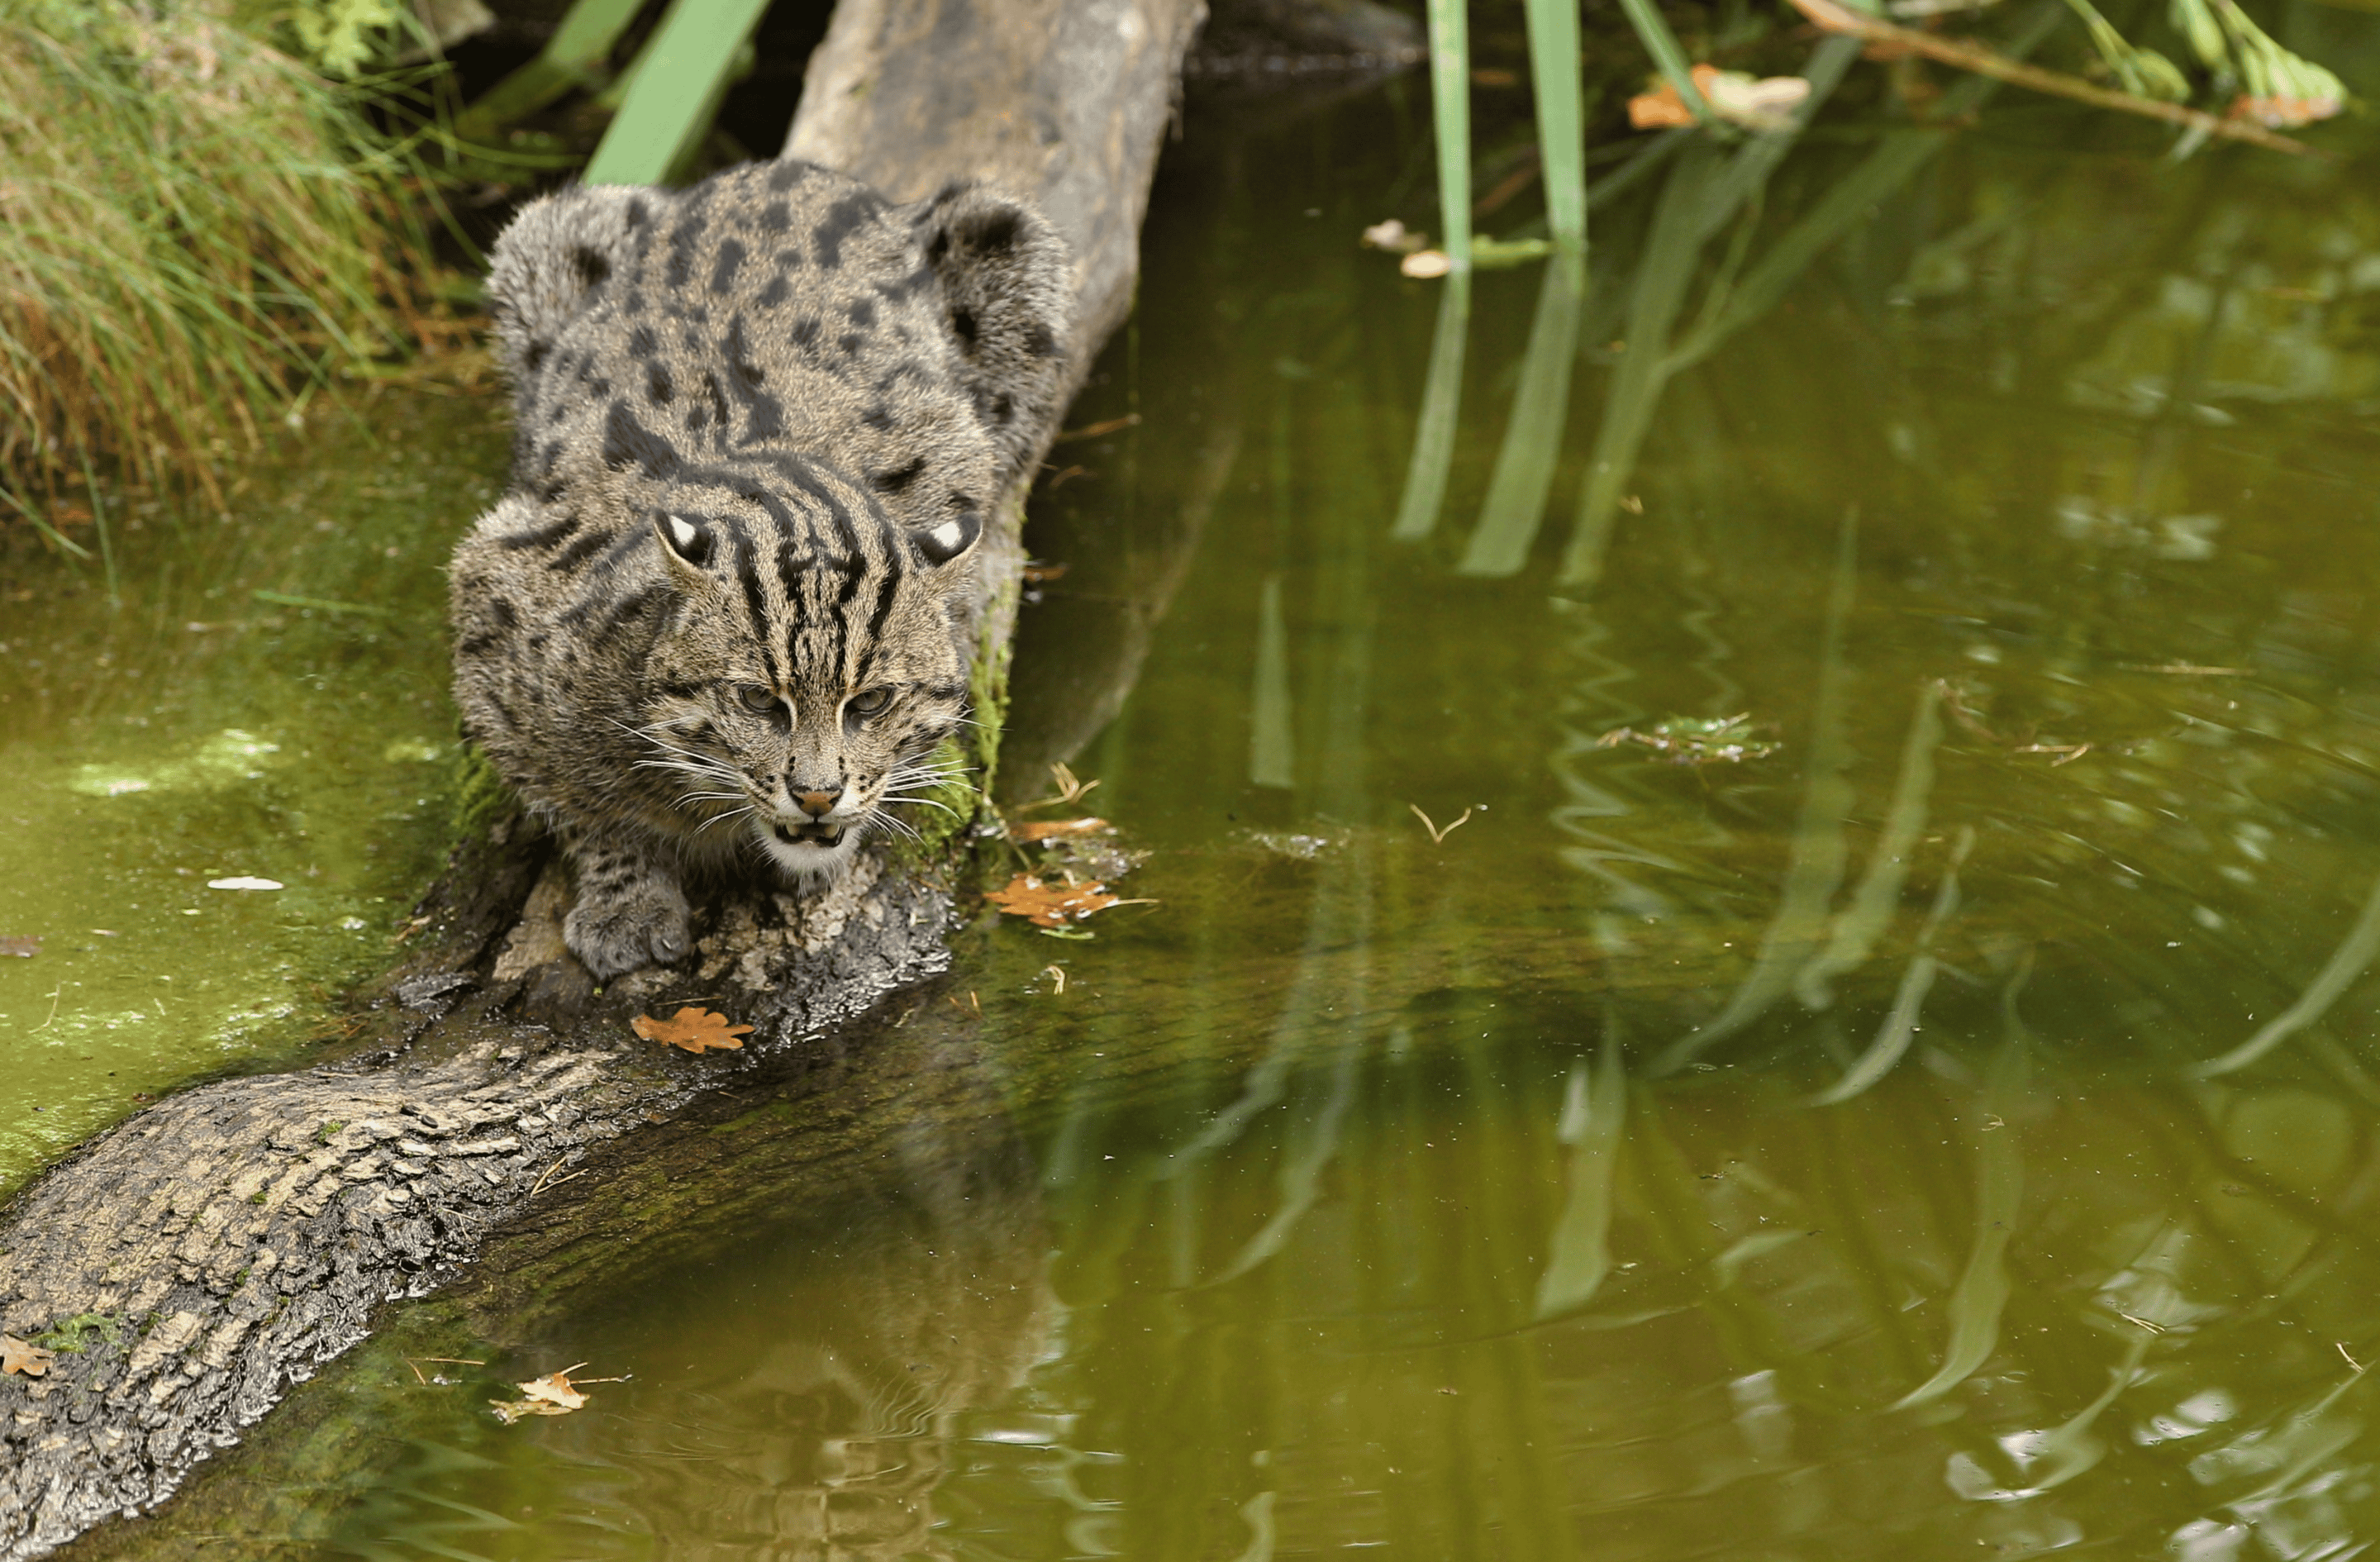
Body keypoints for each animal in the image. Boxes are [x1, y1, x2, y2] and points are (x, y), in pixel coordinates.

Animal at [445, 164, 1071, 981]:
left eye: (872, 703)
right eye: (754, 701)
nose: (817, 796)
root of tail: (785, 172)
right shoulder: (495, 602)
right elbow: (580, 802)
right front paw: (625, 893)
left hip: (1007, 238)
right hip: (545, 240)